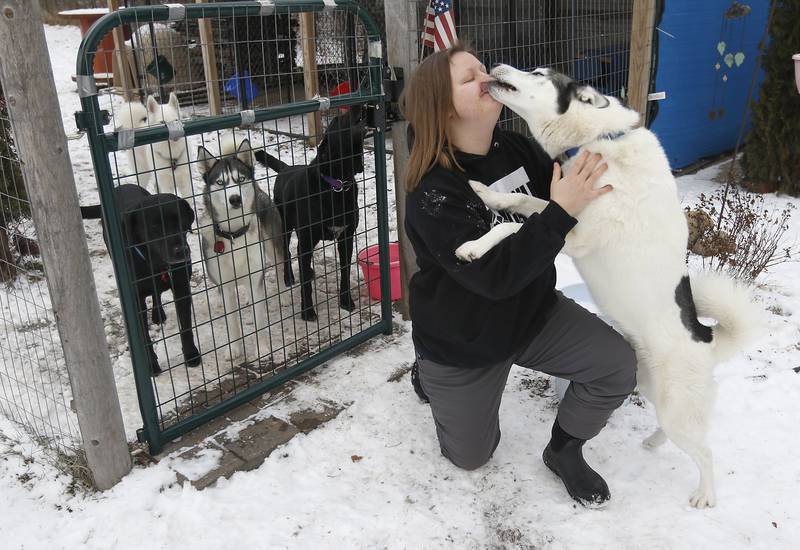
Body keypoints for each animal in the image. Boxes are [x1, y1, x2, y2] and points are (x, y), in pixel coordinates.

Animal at [80, 185, 200, 376]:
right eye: (155, 226)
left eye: (181, 221)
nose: (181, 251)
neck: (156, 264)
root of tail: (122, 186)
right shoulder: (136, 301)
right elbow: (144, 337)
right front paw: (151, 365)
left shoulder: (182, 287)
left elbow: (186, 326)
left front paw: (191, 354)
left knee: (157, 294)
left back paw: (158, 313)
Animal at [196, 136, 284, 364]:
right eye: (220, 182)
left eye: (241, 179)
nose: (235, 198)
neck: (234, 233)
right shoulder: (226, 285)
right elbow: (232, 323)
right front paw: (234, 349)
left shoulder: (254, 278)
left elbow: (259, 320)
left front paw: (262, 350)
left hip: (273, 246)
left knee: (280, 266)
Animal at [256, 105, 366, 322]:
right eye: (336, 120)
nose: (357, 105)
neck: (337, 185)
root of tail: (286, 168)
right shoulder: (306, 242)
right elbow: (305, 284)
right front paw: (307, 311)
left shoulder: (346, 237)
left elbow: (345, 271)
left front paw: (345, 301)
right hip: (284, 226)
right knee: (287, 253)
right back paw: (289, 277)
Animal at [456, 64, 764, 508]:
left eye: (538, 73)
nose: (494, 67)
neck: (598, 141)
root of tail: (707, 339)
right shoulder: (561, 210)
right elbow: (523, 206)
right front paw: (485, 194)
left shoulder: (574, 237)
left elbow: (514, 228)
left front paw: (473, 248)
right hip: (653, 389)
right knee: (674, 433)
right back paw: (653, 443)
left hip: (677, 408)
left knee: (705, 451)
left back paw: (705, 496)